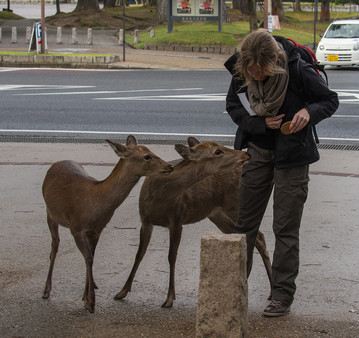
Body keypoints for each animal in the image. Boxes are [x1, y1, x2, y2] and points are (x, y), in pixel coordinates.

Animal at [41, 135, 174, 314]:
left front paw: (86, 297)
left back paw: (93, 285)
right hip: (50, 213)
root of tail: (56, 163)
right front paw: (91, 302)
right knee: (54, 246)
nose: (170, 166)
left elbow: (91, 257)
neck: (96, 202)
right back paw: (46, 290)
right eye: (147, 156)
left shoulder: (97, 229)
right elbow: (88, 258)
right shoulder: (76, 227)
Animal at [114, 137, 272, 308]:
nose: (245, 154)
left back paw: (270, 290)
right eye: (217, 151)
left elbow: (171, 256)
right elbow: (139, 254)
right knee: (254, 237)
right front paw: (122, 291)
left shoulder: (177, 220)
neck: (160, 196)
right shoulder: (145, 220)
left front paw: (169, 298)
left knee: (260, 236)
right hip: (217, 215)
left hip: (235, 205)